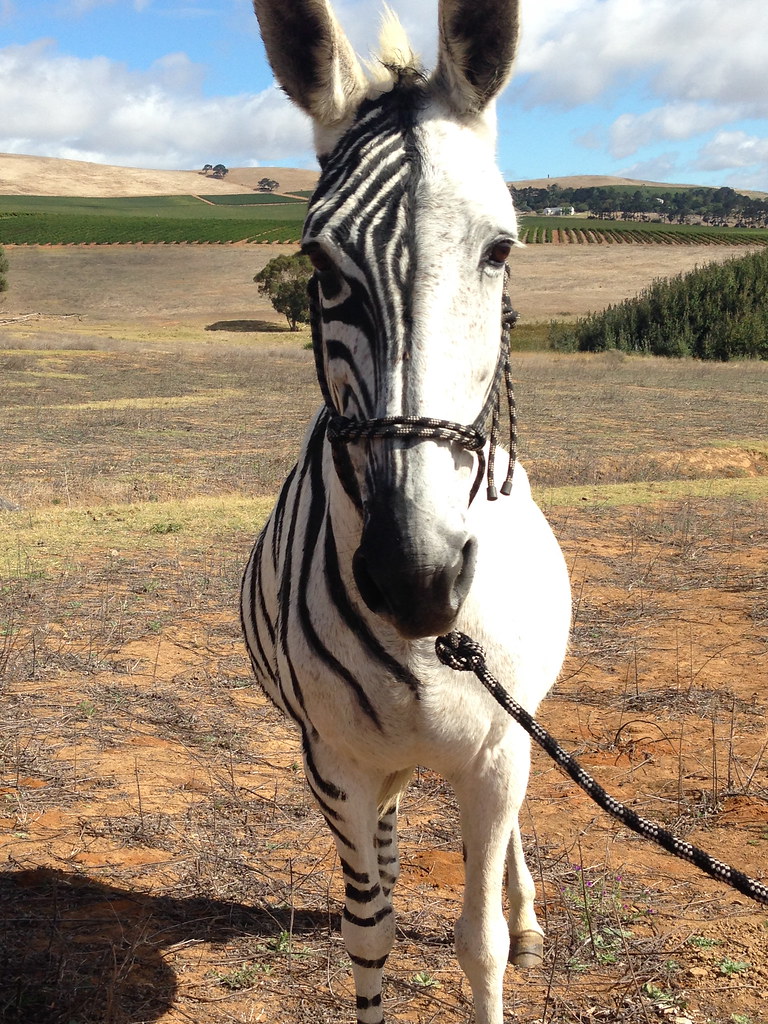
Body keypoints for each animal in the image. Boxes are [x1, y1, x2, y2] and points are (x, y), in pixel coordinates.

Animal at [240, 2, 571, 1022]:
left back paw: (532, 914)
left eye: (500, 250)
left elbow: (480, 942)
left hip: (517, 727)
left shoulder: (497, 750)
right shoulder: (334, 763)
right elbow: (368, 934)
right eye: (320, 264)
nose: (415, 579)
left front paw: (510, 931)